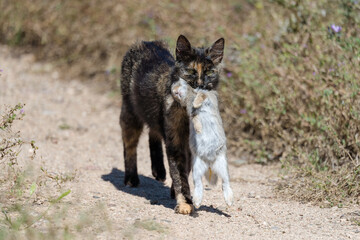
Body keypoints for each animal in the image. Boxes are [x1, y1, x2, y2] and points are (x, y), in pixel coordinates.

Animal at [119, 34, 224, 215]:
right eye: (191, 71)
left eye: (210, 72)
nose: (201, 84)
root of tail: (146, 42)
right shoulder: (176, 144)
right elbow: (180, 175)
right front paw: (184, 203)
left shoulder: (189, 146)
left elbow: (185, 171)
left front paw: (175, 193)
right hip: (130, 114)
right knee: (129, 144)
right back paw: (131, 178)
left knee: (153, 132)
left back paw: (158, 170)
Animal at [171, 79, 233, 208]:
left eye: (179, 83)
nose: (172, 89)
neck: (190, 95)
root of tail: (209, 164)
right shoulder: (192, 114)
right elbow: (194, 117)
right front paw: (198, 129)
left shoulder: (206, 96)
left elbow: (200, 97)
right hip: (196, 169)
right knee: (199, 185)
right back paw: (197, 202)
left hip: (223, 165)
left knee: (226, 183)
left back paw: (229, 202)